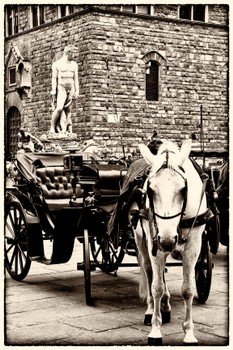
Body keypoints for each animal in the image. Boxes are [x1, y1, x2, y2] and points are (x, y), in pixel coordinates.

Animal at [129, 139, 209, 344]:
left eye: (183, 189)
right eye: (150, 189)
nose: (166, 240)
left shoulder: (194, 247)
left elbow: (188, 289)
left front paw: (189, 333)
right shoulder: (154, 242)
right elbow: (156, 286)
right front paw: (155, 331)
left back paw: (165, 306)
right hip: (141, 240)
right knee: (149, 271)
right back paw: (152, 310)